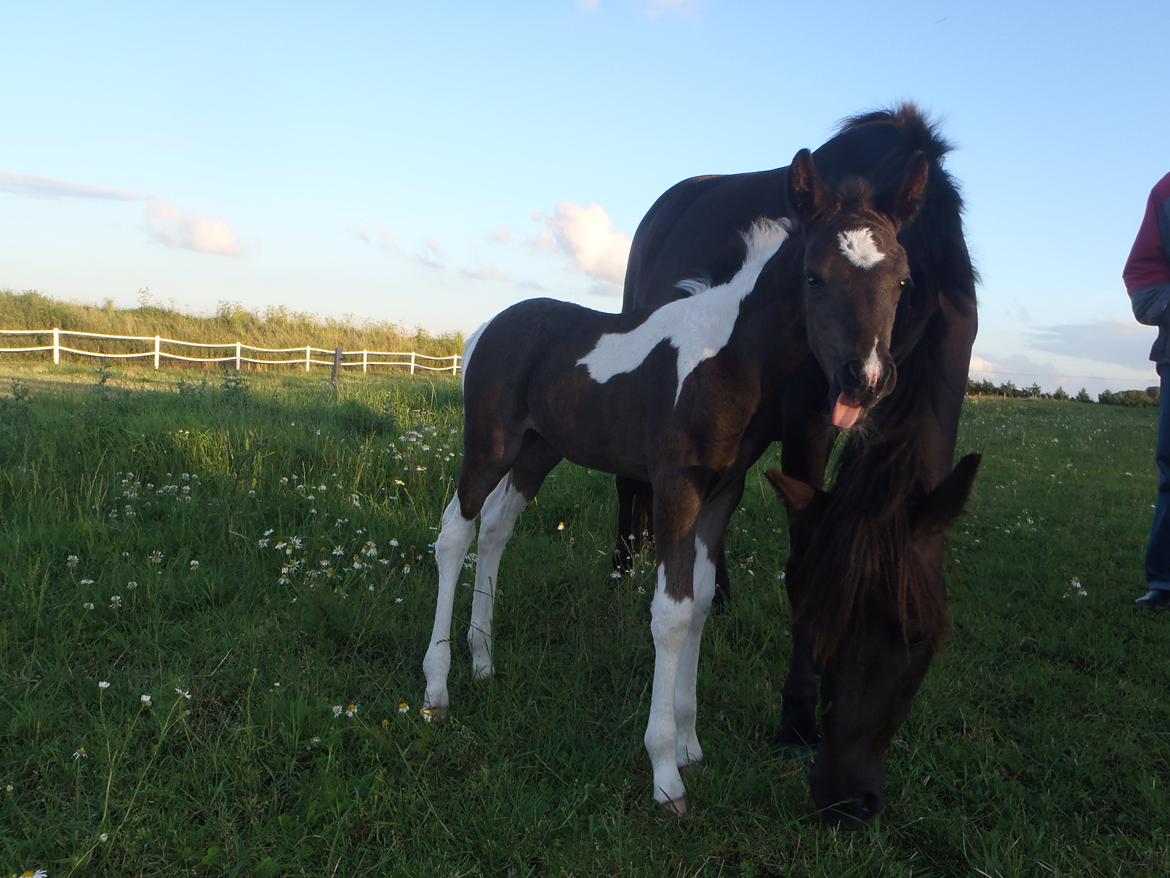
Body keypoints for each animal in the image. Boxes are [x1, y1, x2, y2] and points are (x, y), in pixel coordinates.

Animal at [425, 151, 926, 819]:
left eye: (901, 281)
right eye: (815, 277)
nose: (865, 379)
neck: (728, 359)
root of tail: (484, 329)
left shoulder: (721, 495)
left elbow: (704, 602)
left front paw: (691, 743)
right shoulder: (673, 489)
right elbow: (672, 613)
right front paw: (665, 772)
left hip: (537, 453)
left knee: (497, 532)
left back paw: (483, 662)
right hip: (489, 448)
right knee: (455, 536)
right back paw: (436, 685)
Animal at [613, 103, 978, 824]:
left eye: (918, 635)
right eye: (826, 618)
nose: (848, 799)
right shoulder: (809, 423)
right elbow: (801, 557)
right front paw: (796, 720)